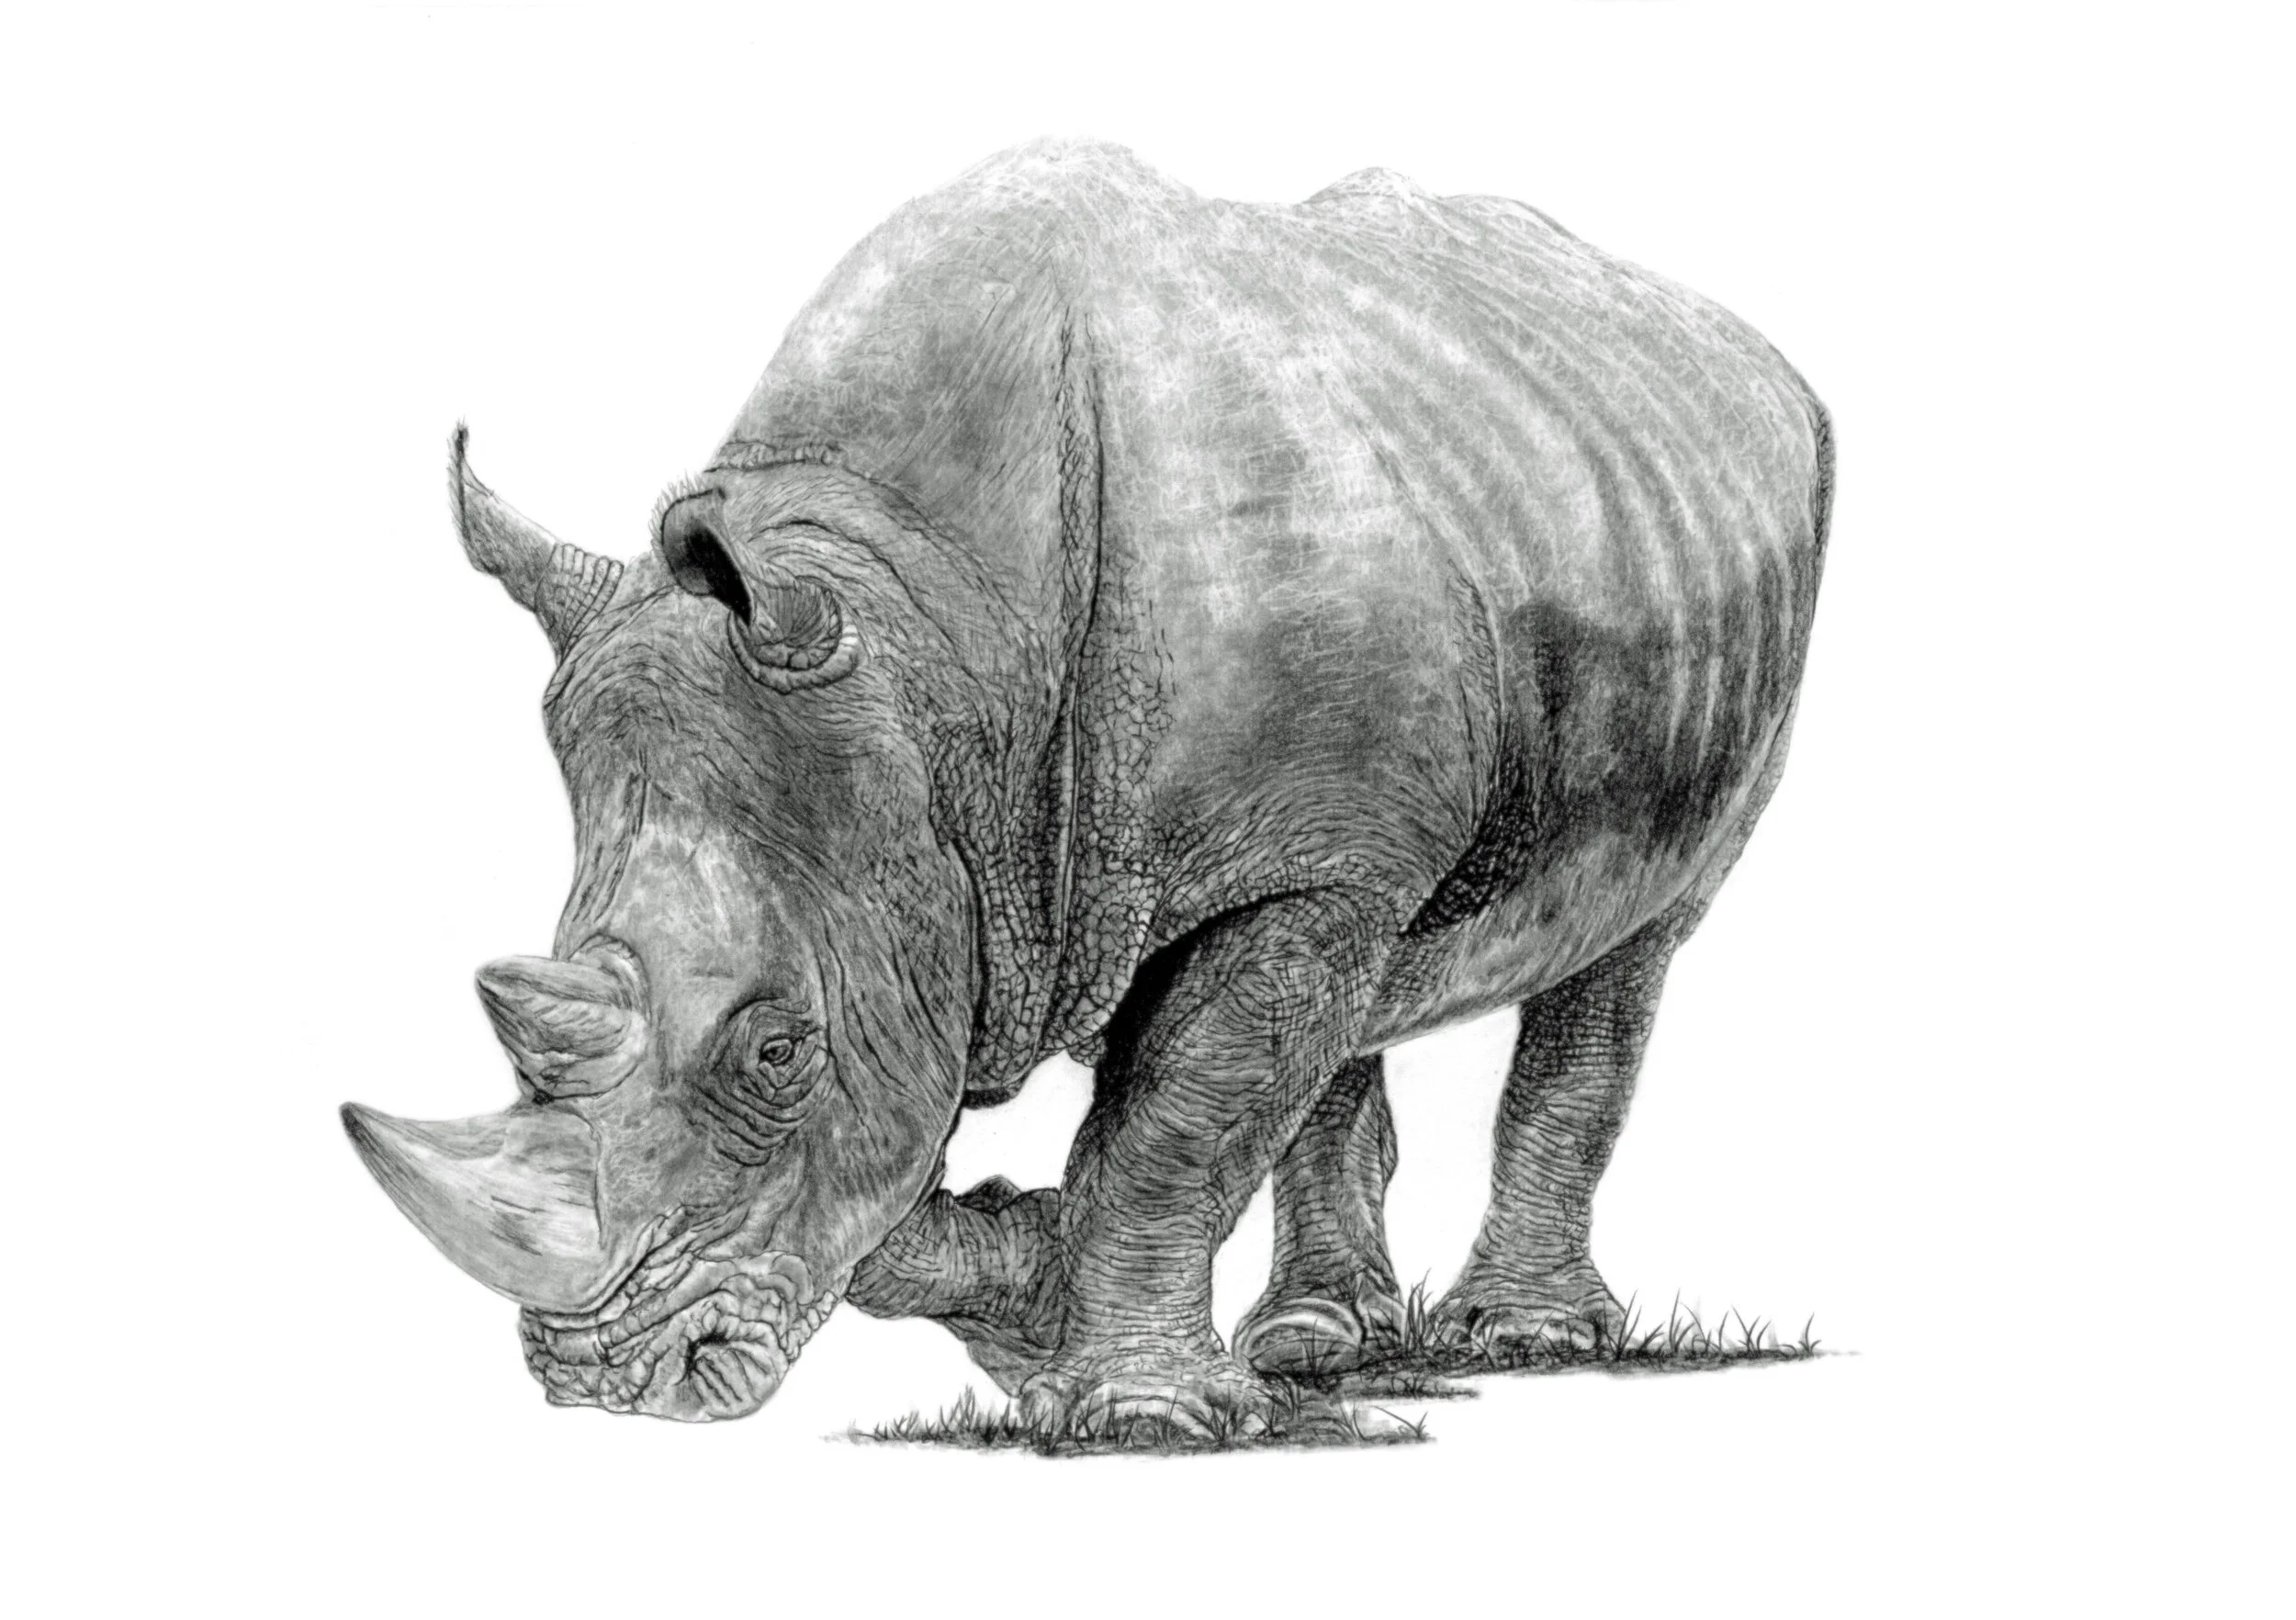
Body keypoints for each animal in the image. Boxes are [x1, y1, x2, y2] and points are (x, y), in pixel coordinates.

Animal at [343, 139, 1832, 1429]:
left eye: (778, 1053)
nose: (604, 1384)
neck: (936, 654)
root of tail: (1740, 347)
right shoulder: (1066, 862)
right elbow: (1066, 1130)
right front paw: (1036, 1293)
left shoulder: (1262, 860)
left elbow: (1172, 1125)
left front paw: (1136, 1412)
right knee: (1364, 981)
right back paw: (1313, 1348)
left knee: (1633, 941)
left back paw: (1518, 1341)